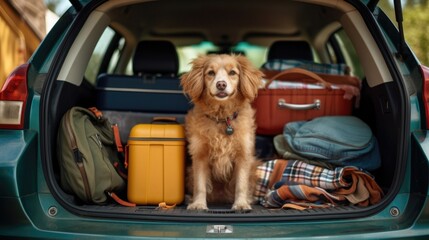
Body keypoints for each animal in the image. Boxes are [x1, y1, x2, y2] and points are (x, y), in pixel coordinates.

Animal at [179, 54, 262, 210]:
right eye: (211, 73)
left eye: (232, 73)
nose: (221, 84)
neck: (222, 118)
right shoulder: (200, 155)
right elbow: (200, 185)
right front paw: (198, 204)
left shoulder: (243, 155)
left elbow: (241, 184)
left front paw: (241, 204)